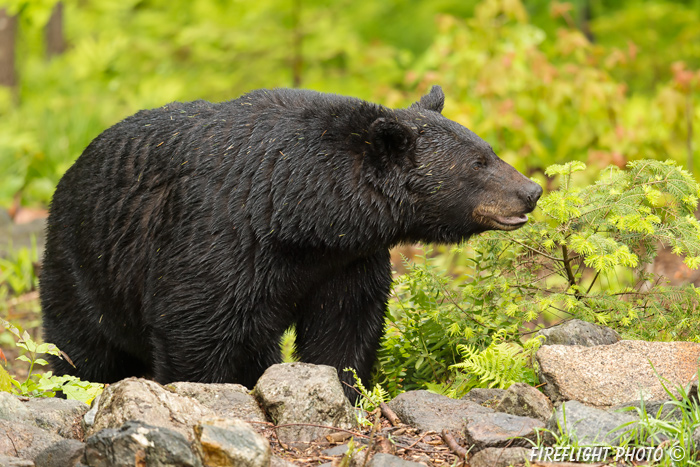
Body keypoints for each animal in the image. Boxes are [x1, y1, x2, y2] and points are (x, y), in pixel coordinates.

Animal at [39, 86, 540, 400]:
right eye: (478, 163)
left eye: (489, 150)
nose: (531, 190)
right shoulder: (219, 239)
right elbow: (195, 328)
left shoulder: (347, 262)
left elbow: (345, 328)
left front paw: (344, 389)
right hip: (83, 262)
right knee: (80, 348)